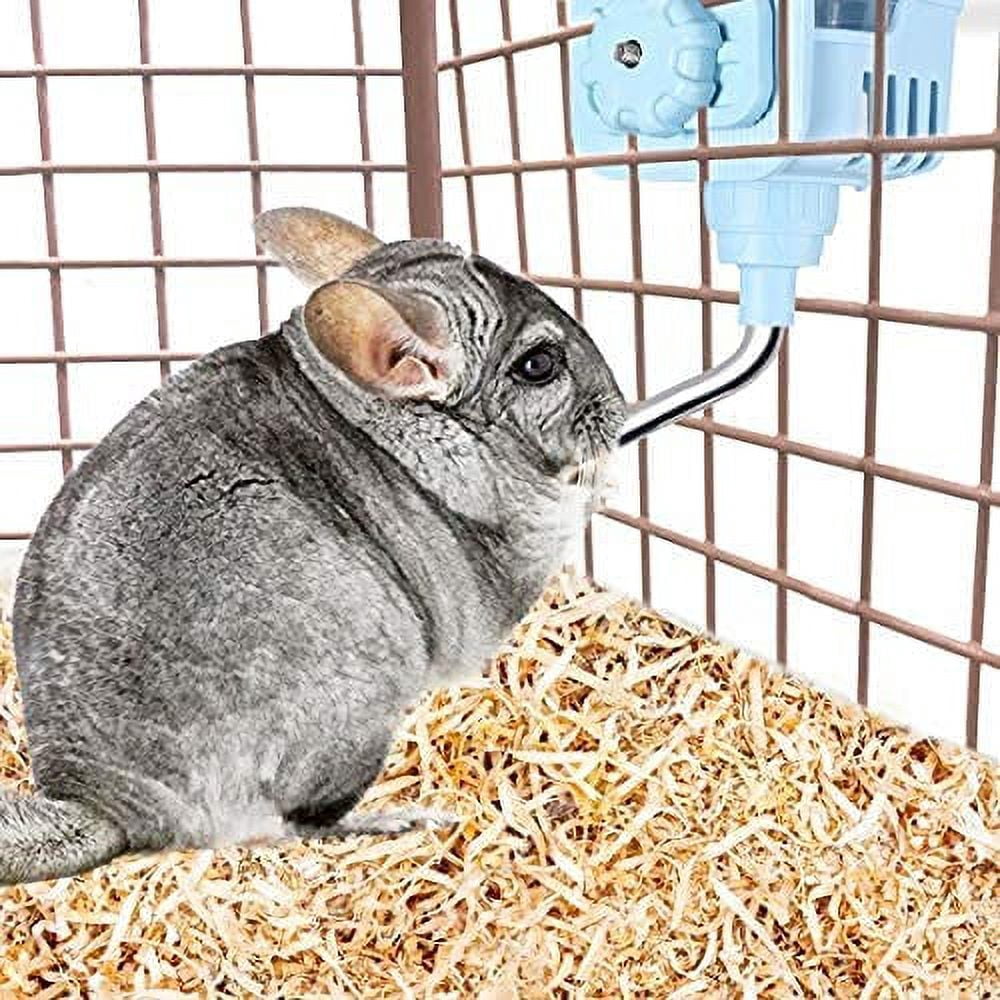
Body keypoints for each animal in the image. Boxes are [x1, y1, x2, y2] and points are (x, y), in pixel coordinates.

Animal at [1, 208, 626, 886]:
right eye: (539, 364)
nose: (621, 408)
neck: (370, 414)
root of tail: (98, 801)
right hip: (355, 710)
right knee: (300, 824)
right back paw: (403, 818)